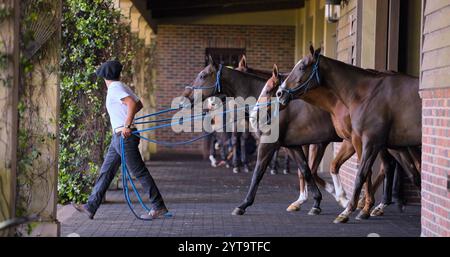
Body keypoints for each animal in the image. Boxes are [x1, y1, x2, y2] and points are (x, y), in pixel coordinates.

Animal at [278, 46, 422, 222]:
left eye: (302, 67)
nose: (280, 94)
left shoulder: (366, 141)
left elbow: (360, 174)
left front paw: (347, 209)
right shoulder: (359, 141)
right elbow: (333, 168)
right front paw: (358, 205)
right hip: (399, 145)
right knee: (406, 169)